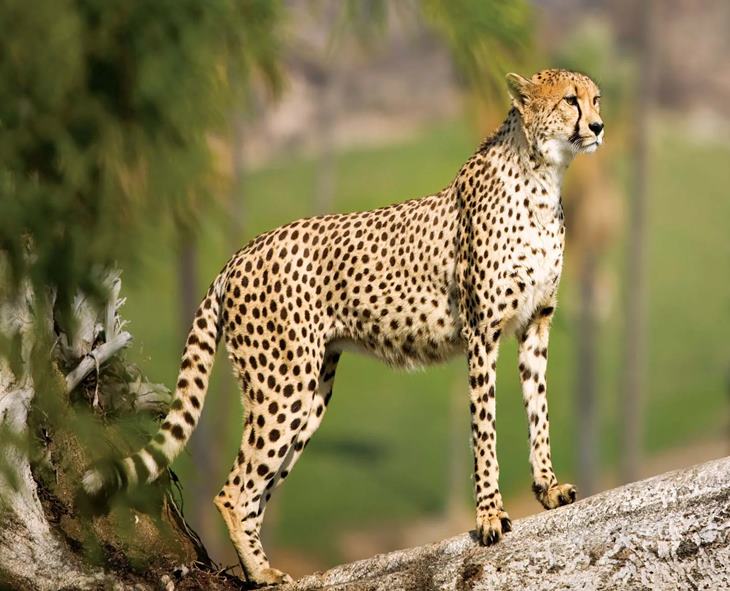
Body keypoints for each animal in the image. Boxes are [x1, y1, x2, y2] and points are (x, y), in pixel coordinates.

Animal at [82, 68, 603, 587]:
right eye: (570, 101)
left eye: (595, 98)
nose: (598, 126)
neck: (542, 176)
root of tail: (241, 253)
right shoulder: (481, 332)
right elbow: (485, 429)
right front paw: (490, 516)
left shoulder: (534, 326)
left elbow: (539, 411)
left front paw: (548, 488)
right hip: (282, 388)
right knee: (233, 491)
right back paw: (262, 572)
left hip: (310, 395)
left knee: (256, 492)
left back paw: (261, 568)